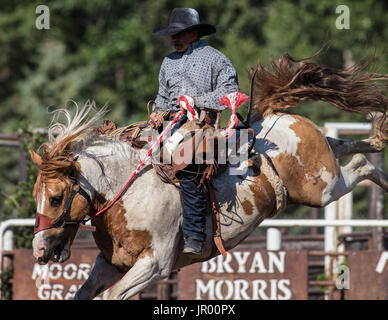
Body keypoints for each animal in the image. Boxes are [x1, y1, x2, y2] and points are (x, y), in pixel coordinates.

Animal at [30, 53, 388, 298]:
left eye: (57, 197)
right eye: (37, 196)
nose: (39, 250)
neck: (130, 195)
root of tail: (275, 114)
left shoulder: (154, 265)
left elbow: (113, 295)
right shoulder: (110, 263)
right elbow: (83, 293)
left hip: (323, 187)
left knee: (360, 164)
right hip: (323, 167)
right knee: (348, 146)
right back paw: (378, 142)